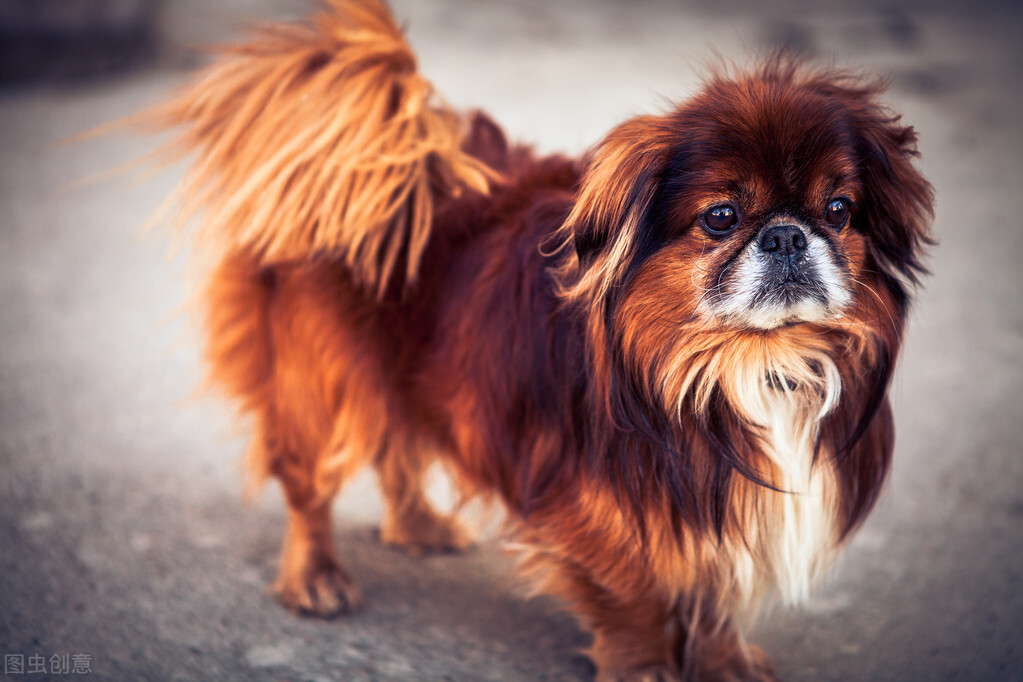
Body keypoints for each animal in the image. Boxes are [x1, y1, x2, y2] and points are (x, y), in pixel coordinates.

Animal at [142, 2, 937, 678]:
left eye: (838, 210)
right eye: (720, 217)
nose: (786, 234)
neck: (747, 362)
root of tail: (373, 159)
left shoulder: (724, 512)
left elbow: (715, 600)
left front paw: (725, 665)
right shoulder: (606, 511)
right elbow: (636, 603)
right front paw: (645, 669)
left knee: (398, 446)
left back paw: (418, 525)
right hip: (322, 383)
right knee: (310, 483)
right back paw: (316, 577)